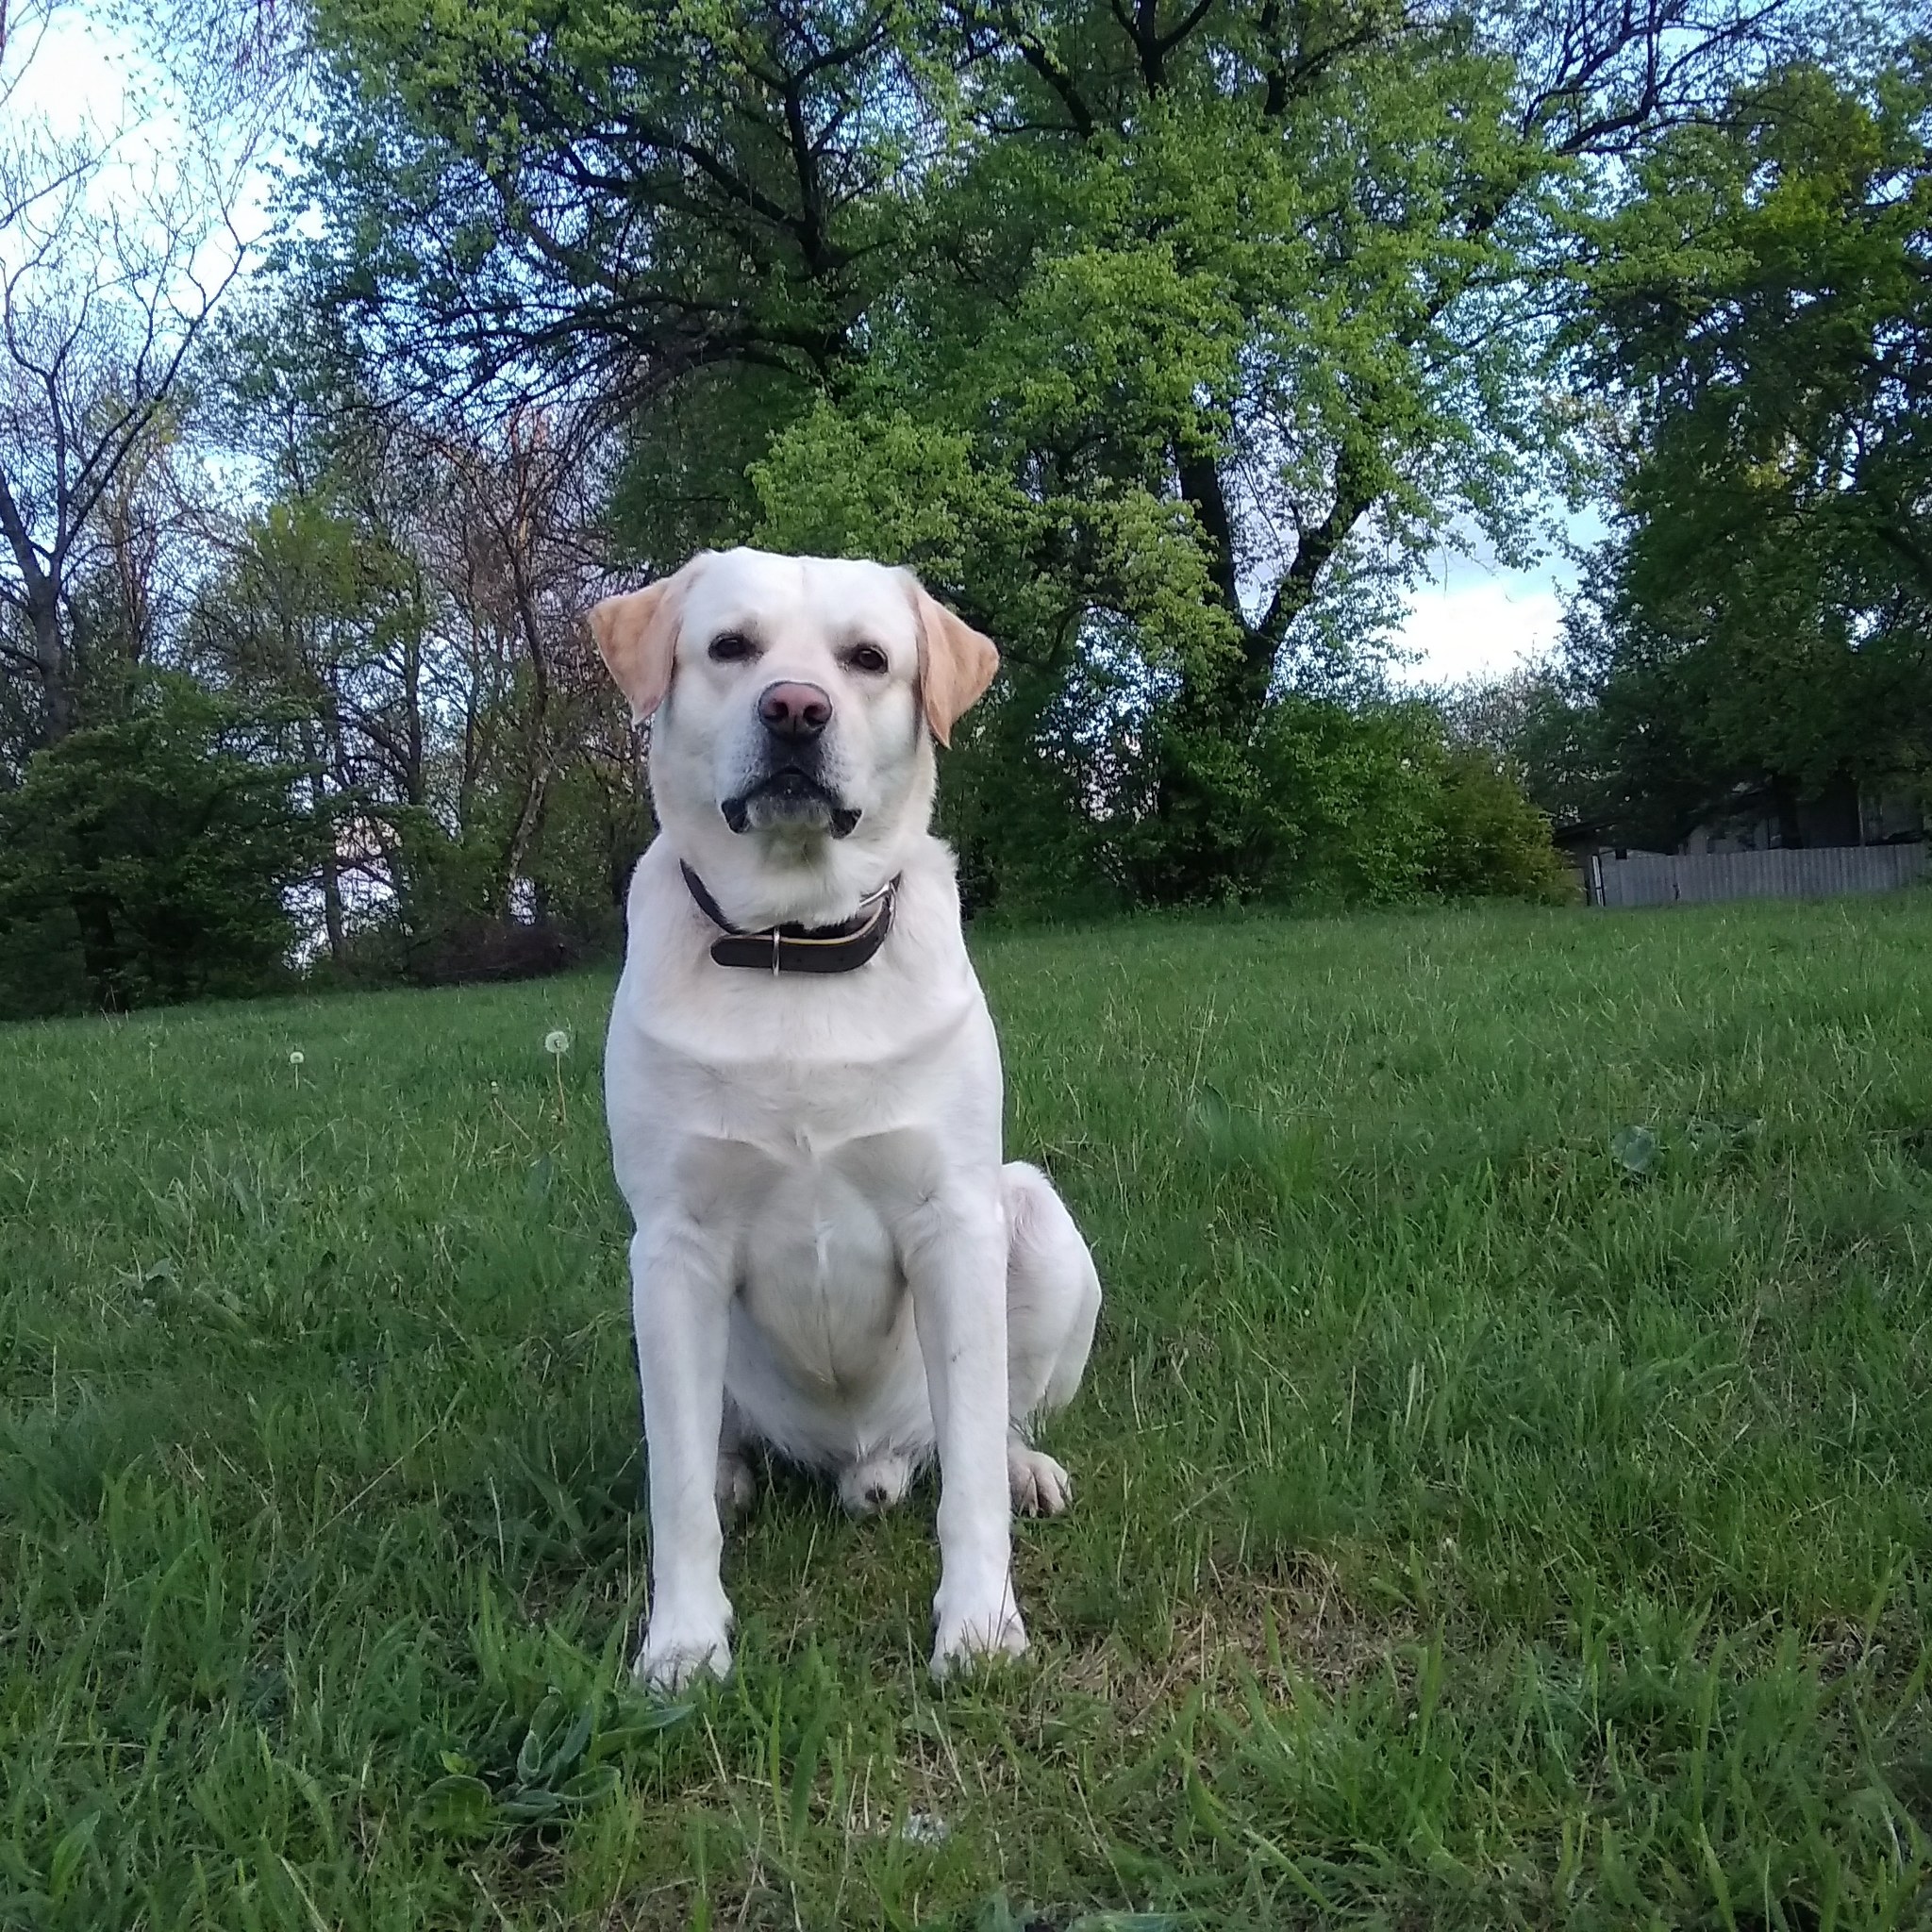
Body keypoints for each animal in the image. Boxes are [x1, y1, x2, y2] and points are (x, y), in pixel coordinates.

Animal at [587, 548, 1105, 1692]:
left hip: (1034, 1216)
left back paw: (1023, 1463)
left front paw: (978, 1626)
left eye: (867, 659)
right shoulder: (674, 1243)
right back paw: (736, 1473)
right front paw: (682, 1642)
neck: (796, 942)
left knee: (990, 1422)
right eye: (730, 646)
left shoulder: (951, 1219)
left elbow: (971, 1482)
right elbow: (674, 1491)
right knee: (707, 1445)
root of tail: (865, 1462)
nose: (795, 708)